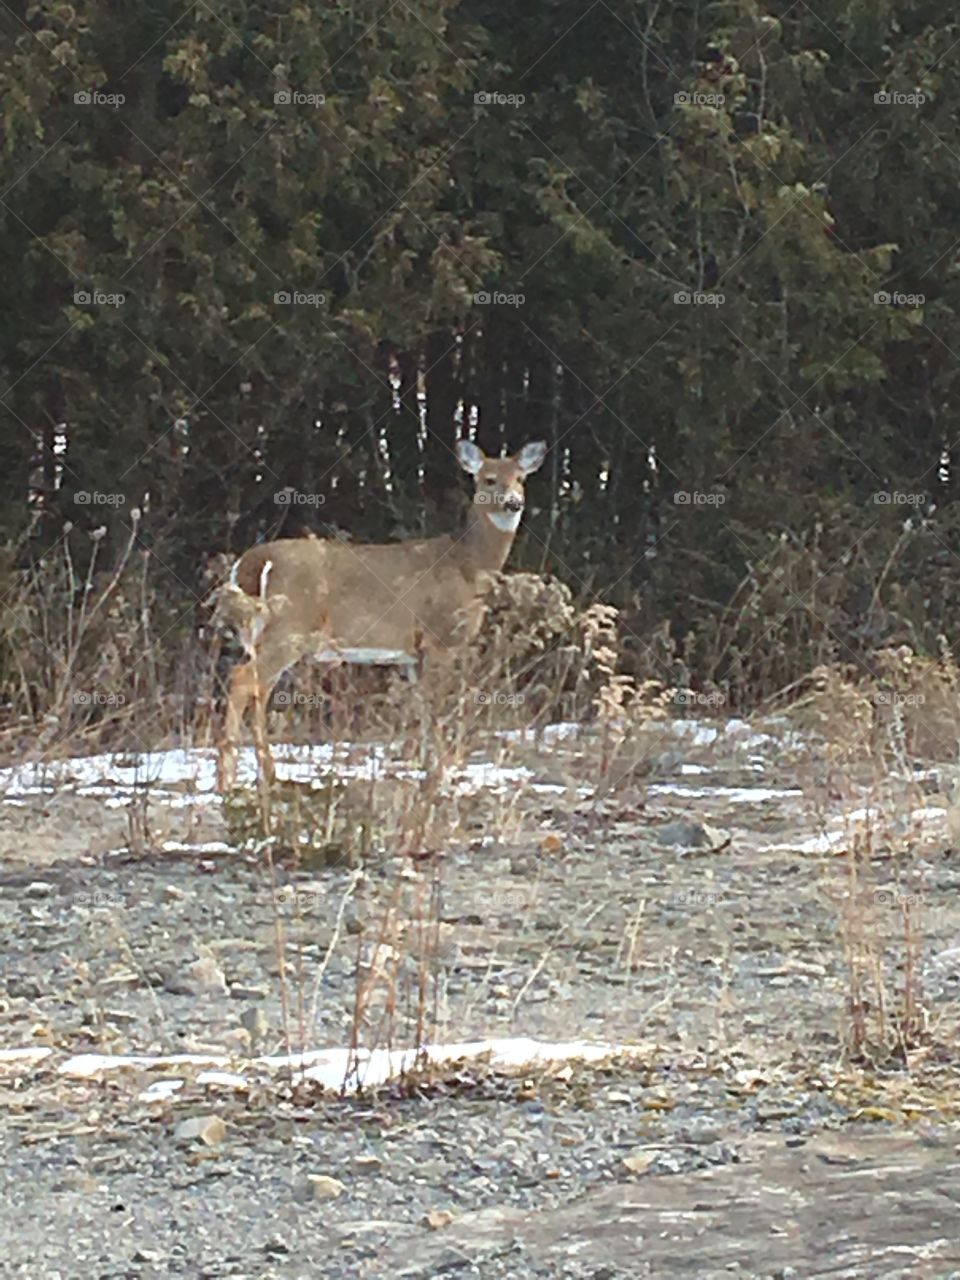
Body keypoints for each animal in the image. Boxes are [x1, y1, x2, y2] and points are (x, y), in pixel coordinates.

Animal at [215, 438, 547, 790]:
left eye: (520, 479)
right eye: (489, 480)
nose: (513, 503)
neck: (467, 566)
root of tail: (251, 563)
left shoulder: (414, 653)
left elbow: (422, 706)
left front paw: (427, 768)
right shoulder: (440, 637)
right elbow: (436, 704)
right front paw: (443, 773)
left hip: (264, 632)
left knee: (256, 688)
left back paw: (260, 773)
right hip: (288, 627)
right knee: (242, 679)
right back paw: (232, 777)